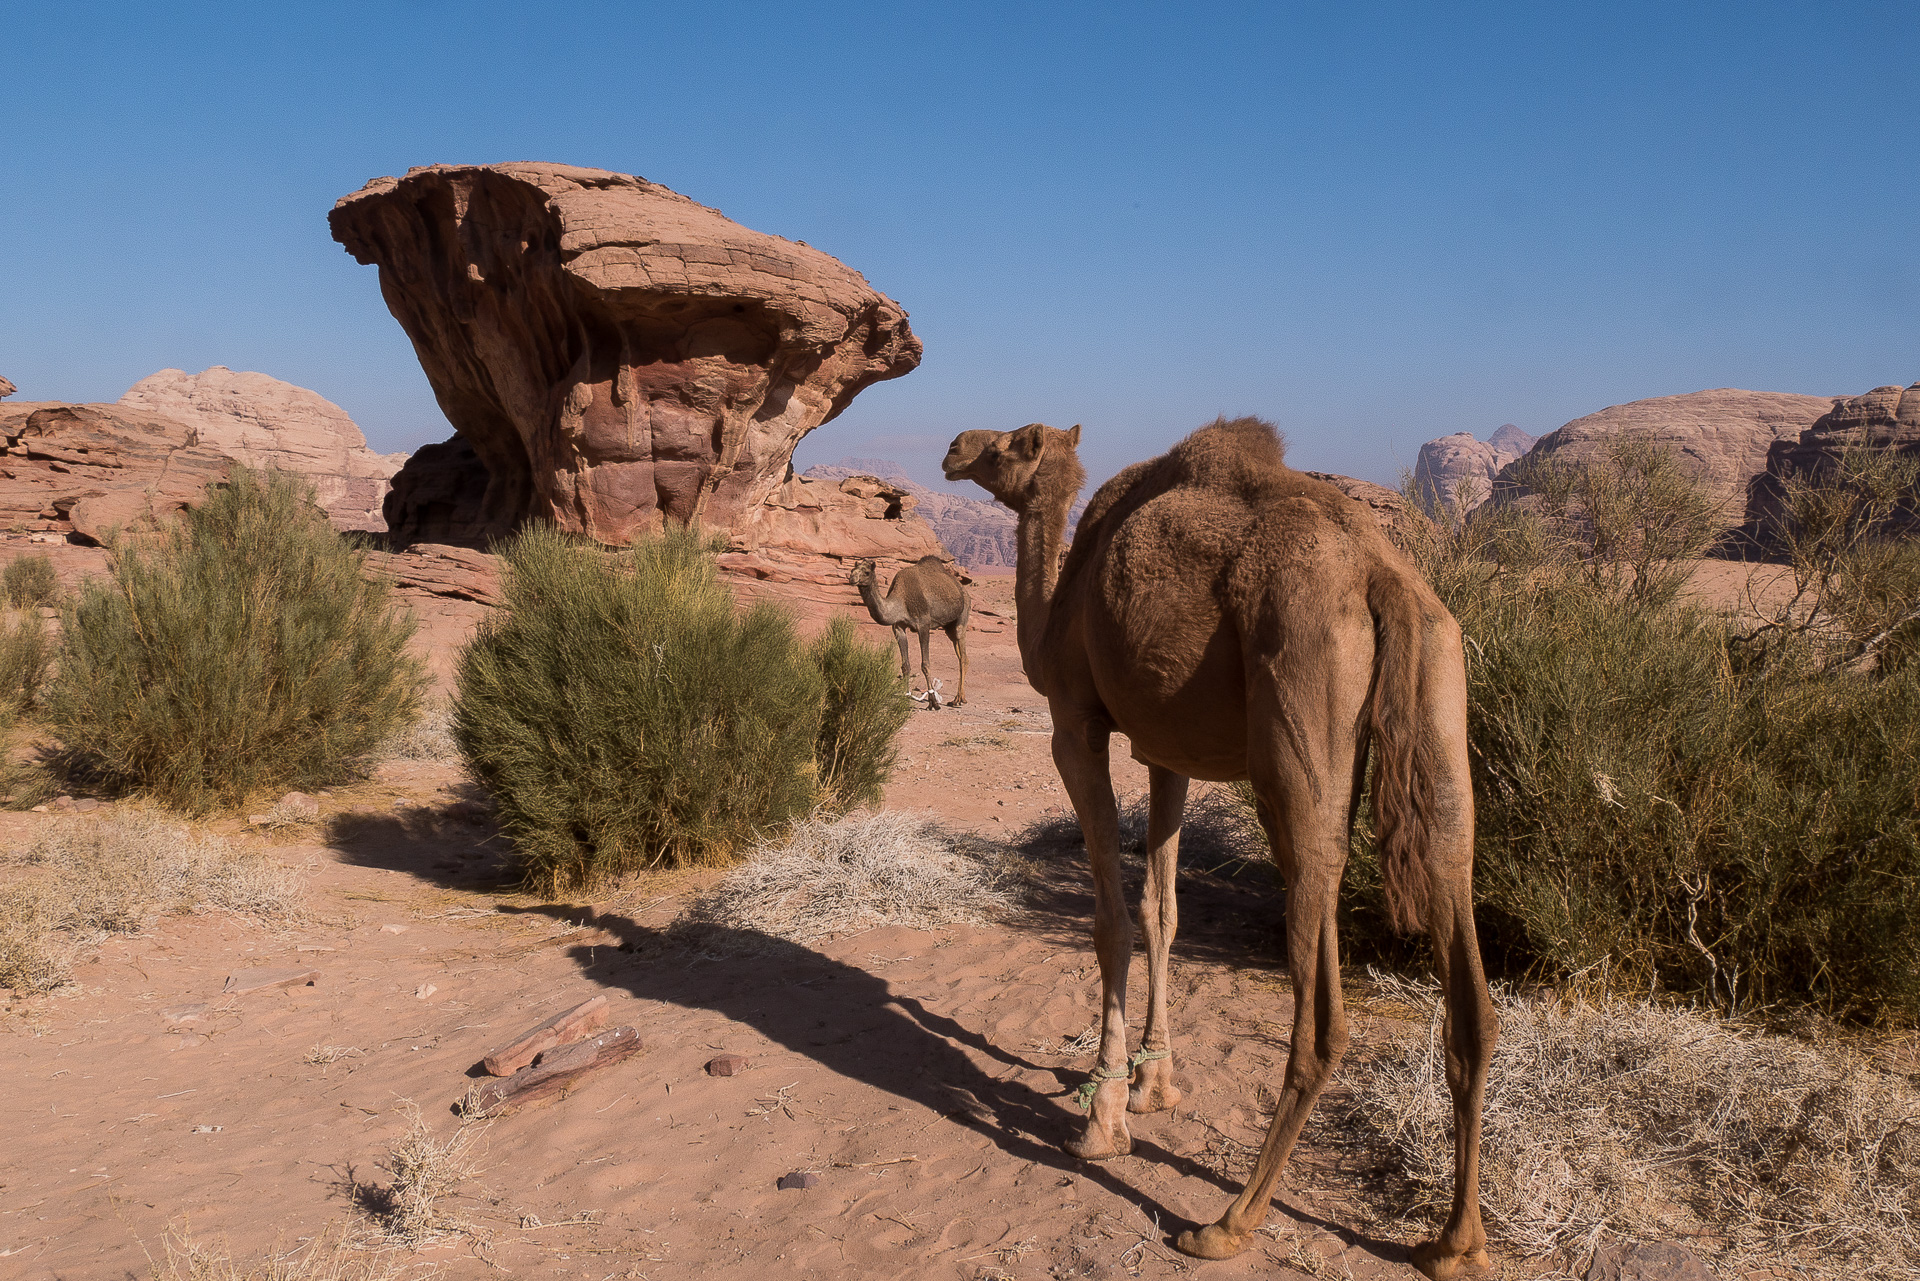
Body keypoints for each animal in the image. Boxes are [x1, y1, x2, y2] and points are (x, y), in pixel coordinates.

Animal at [852, 556, 967, 706]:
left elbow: (925, 664)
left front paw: (933, 701)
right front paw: (905, 696)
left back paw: (958, 699)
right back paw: (958, 698)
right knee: (959, 653)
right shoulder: (898, 627)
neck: (901, 601)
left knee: (963, 657)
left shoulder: (923, 625)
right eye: (853, 569)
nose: (852, 577)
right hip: (949, 627)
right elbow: (905, 665)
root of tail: (961, 588)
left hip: (963, 615)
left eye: (866, 572)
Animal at [944, 416, 1497, 1275]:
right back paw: (1454, 1241)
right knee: (1461, 925)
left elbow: (1112, 922)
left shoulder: (1076, 722)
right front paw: (1155, 1084)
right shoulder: (1165, 749)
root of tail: (1384, 581)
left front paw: (1102, 1118)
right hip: (1441, 690)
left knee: (1321, 999)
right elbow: (1162, 908)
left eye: (1007, 445)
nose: (954, 447)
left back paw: (1228, 1220)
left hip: (1297, 714)